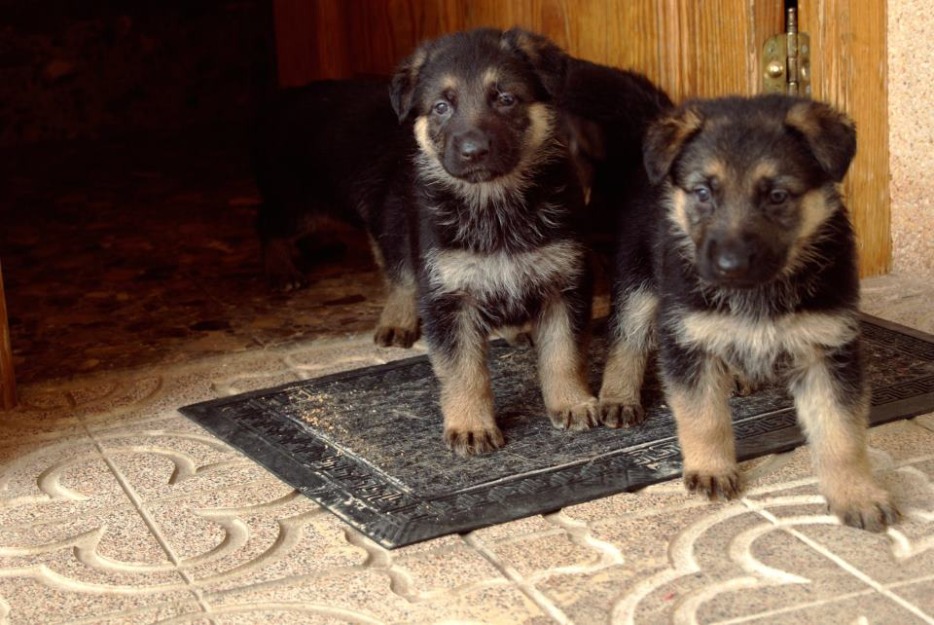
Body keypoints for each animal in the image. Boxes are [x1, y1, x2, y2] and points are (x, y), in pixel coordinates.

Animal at [252, 78, 420, 348]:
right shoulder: (394, 214)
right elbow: (404, 273)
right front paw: (398, 322)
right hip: (301, 204)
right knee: (267, 222)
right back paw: (282, 271)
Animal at [394, 29, 600, 456]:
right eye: (441, 107)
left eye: (505, 99)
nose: (474, 152)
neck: (494, 205)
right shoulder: (447, 298)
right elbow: (463, 369)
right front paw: (471, 424)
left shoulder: (564, 283)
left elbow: (563, 353)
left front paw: (572, 402)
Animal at [604, 95, 904, 528]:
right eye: (703, 193)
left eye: (777, 196)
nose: (731, 266)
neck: (758, 292)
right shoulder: (688, 338)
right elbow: (703, 417)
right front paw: (712, 469)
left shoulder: (828, 351)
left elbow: (841, 433)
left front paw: (856, 493)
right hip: (639, 278)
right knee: (625, 337)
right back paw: (617, 396)